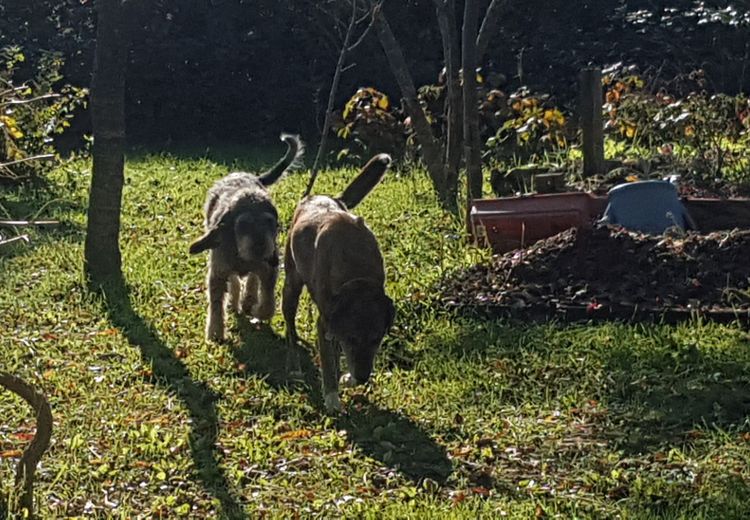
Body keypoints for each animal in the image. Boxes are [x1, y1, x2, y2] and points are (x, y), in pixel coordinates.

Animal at [189, 136, 304, 344]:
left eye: (270, 222)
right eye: (243, 224)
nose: (260, 248)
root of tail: (248, 175)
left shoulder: (269, 270)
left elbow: (267, 303)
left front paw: (256, 309)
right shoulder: (218, 272)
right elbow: (216, 304)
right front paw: (215, 332)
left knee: (251, 280)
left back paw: (248, 300)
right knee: (235, 281)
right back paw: (236, 301)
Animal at [284, 152, 396, 412]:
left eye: (377, 339)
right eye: (352, 339)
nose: (363, 378)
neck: (357, 275)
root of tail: (314, 197)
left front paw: (348, 379)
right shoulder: (325, 321)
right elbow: (328, 363)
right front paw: (333, 398)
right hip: (291, 284)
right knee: (290, 325)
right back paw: (294, 356)